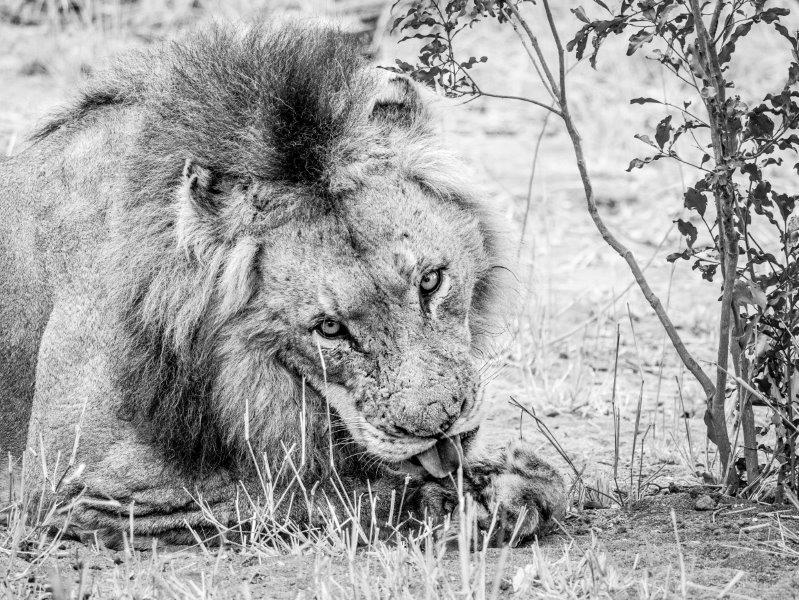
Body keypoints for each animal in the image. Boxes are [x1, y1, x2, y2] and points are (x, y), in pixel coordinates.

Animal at [0, 23, 564, 548]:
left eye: (431, 281)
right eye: (329, 329)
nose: (437, 424)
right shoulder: (71, 487)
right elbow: (308, 491)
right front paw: (489, 494)